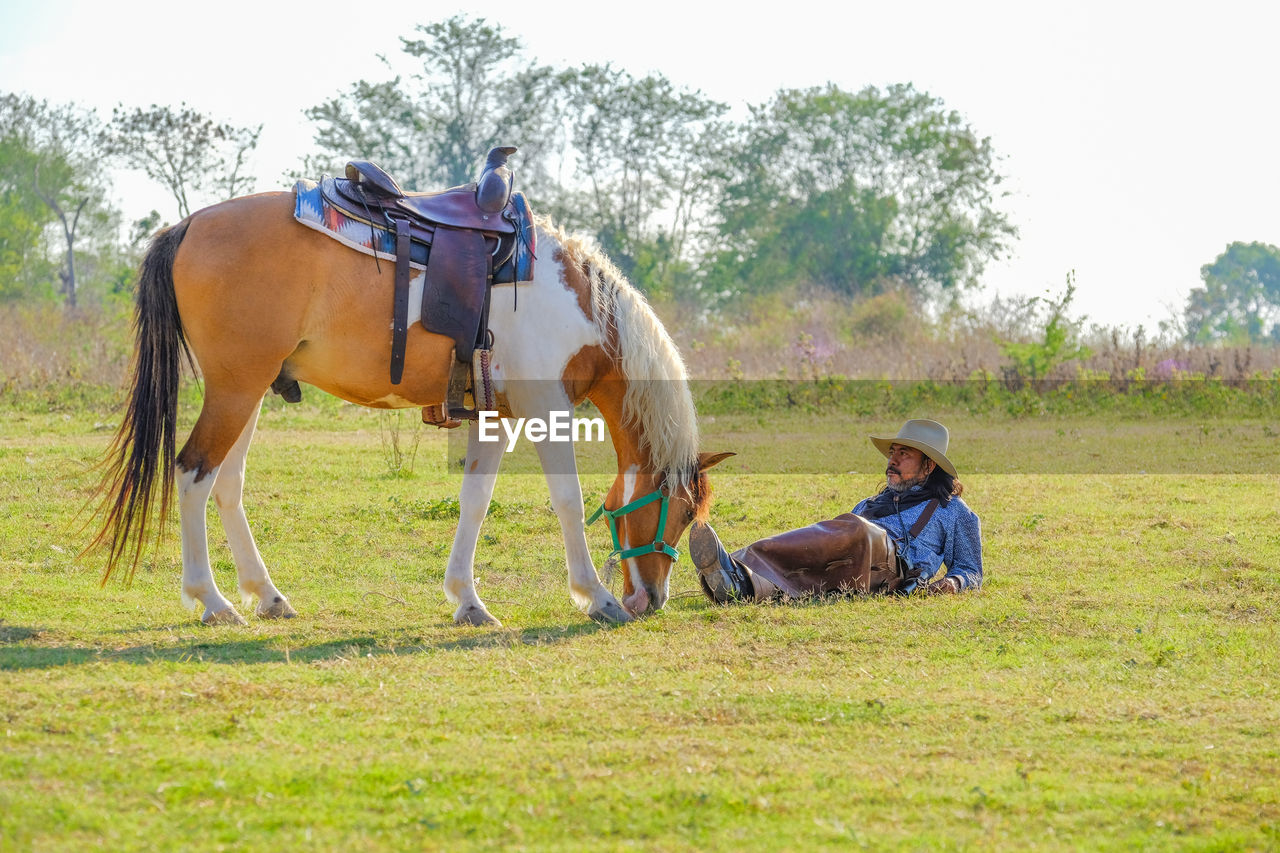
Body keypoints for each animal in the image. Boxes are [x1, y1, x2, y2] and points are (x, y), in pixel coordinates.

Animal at [87, 188, 732, 625]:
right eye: (679, 512)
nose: (651, 599)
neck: (576, 303)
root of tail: (189, 224)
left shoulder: (494, 416)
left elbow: (475, 502)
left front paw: (468, 601)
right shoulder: (548, 407)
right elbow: (568, 502)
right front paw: (594, 597)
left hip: (248, 392)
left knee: (226, 483)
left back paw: (265, 594)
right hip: (235, 389)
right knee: (193, 474)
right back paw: (212, 600)